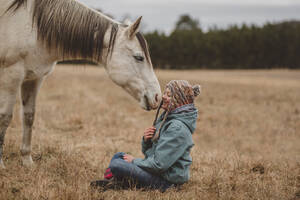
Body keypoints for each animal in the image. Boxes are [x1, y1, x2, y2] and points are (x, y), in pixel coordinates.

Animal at [0, 0, 162, 169]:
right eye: (139, 57)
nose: (158, 96)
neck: (33, 26)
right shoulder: (11, 75)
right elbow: (5, 117)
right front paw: (1, 165)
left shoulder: (34, 79)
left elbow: (29, 116)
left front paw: (27, 161)